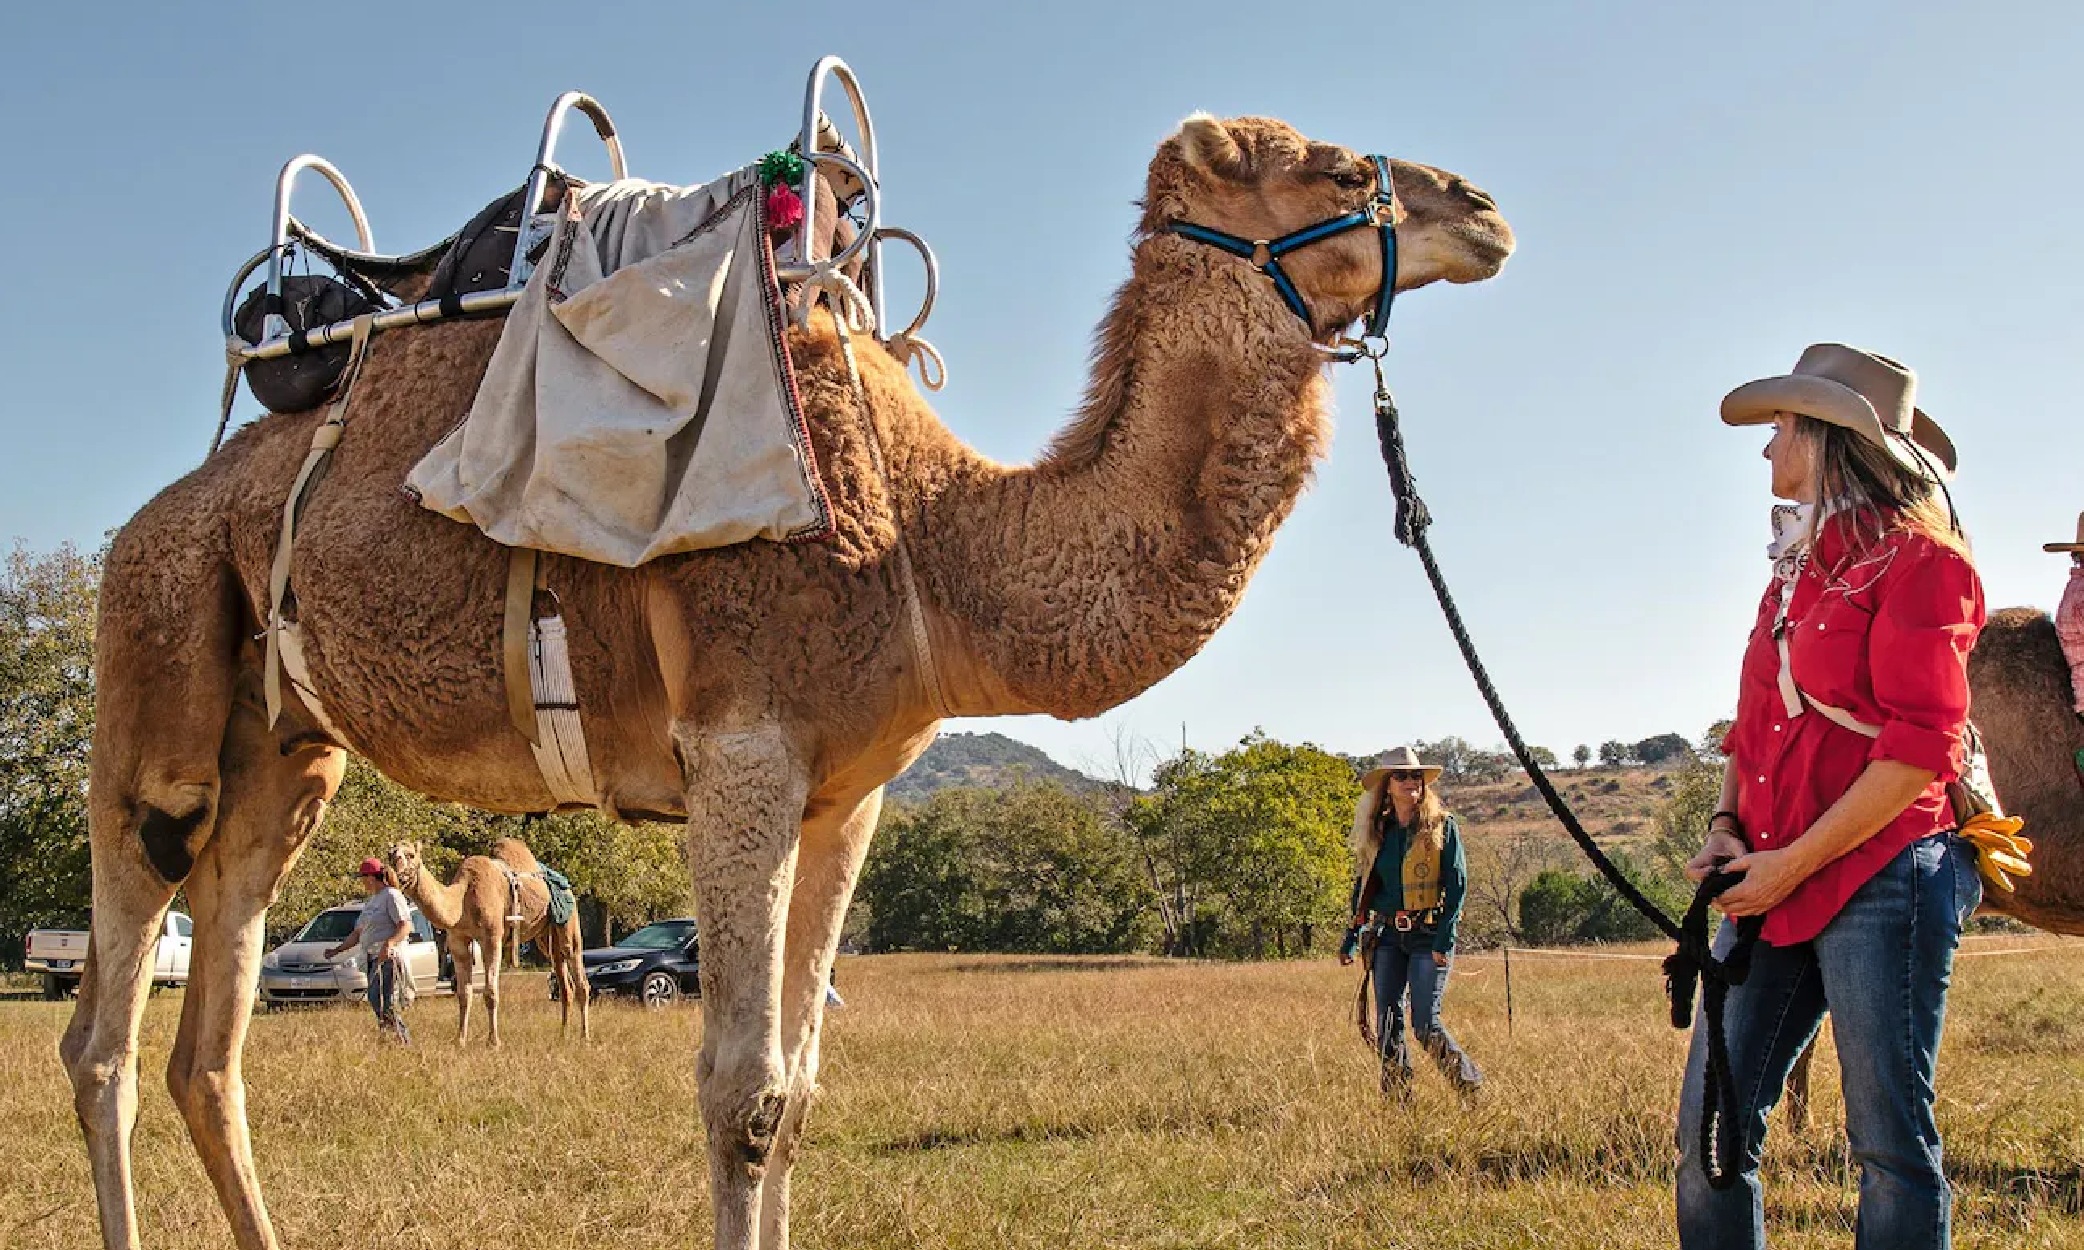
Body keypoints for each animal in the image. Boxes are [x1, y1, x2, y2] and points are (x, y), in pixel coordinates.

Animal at [385, 841, 591, 1045]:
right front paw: (460, 1040)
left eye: (411, 855)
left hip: (569, 921)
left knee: (579, 976)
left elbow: (490, 993)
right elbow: (464, 994)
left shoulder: (492, 939)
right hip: (546, 936)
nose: (393, 874)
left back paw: (584, 1036)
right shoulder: (458, 941)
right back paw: (563, 1035)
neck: (463, 900)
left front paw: (494, 1041)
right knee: (565, 984)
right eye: (391, 854)